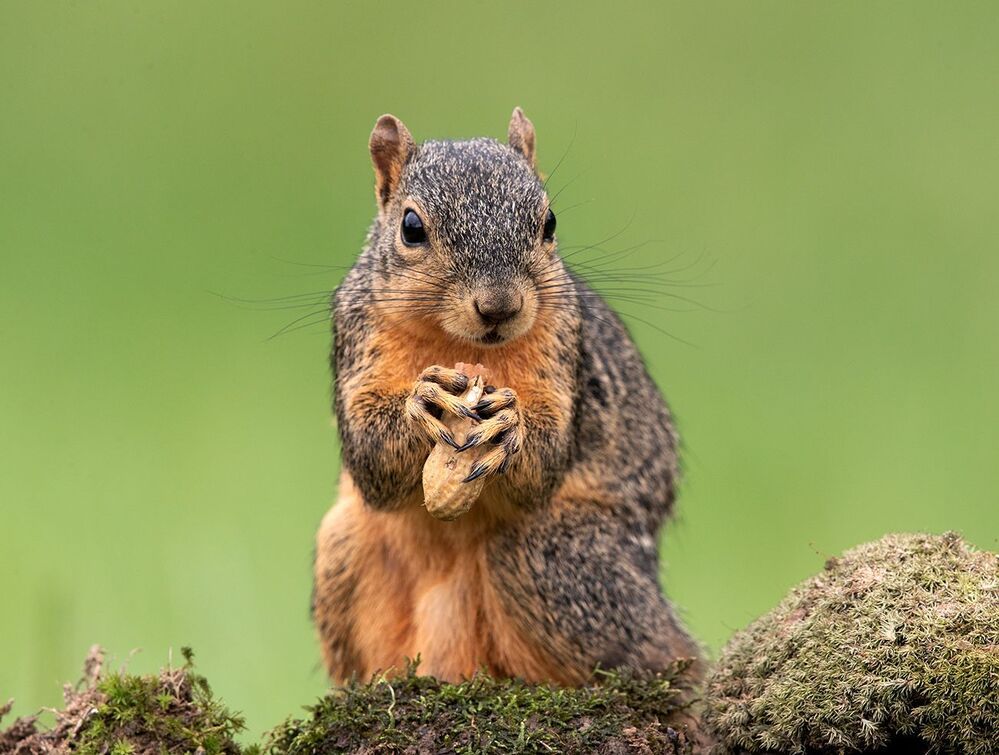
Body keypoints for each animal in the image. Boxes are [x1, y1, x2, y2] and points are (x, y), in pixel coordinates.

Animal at [312, 108, 701, 687]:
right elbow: (370, 460)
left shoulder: (565, 349)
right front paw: (420, 404)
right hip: (342, 554)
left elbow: (543, 467)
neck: (460, 346)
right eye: (411, 227)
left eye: (550, 223)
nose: (499, 306)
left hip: (551, 559)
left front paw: (509, 426)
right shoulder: (356, 335)